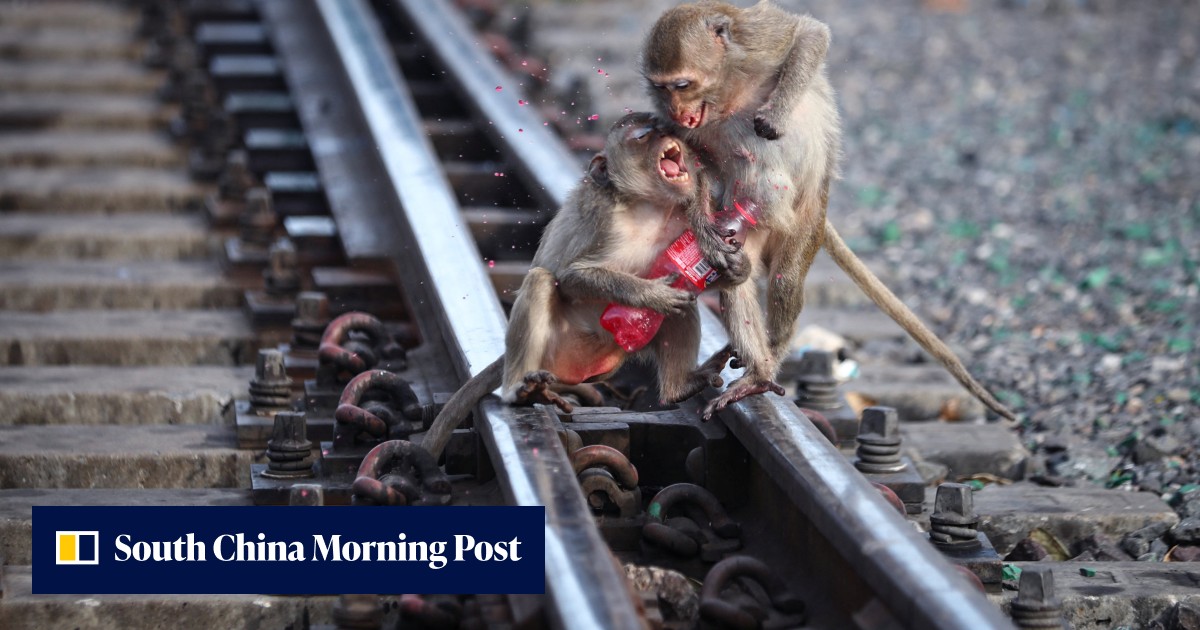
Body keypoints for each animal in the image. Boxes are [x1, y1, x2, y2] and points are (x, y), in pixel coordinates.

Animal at [420, 112, 743, 458]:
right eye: (644, 134)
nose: (670, 129)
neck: (649, 208)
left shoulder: (682, 220)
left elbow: (697, 273)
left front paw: (735, 265)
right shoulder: (603, 219)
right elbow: (571, 276)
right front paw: (651, 294)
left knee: (683, 304)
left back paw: (680, 387)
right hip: (556, 347)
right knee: (541, 280)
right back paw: (519, 391)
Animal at [643, 1, 1017, 422]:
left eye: (683, 85)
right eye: (662, 88)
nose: (677, 110)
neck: (724, 91)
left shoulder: (751, 40)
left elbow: (808, 34)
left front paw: (775, 114)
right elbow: (693, 165)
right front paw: (706, 234)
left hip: (805, 221)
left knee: (786, 278)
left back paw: (768, 361)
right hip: (749, 222)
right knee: (738, 277)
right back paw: (757, 365)